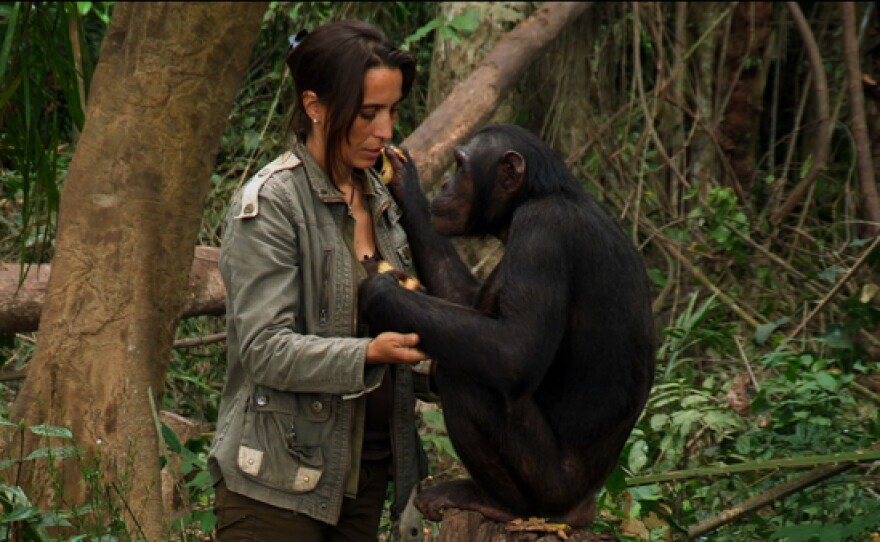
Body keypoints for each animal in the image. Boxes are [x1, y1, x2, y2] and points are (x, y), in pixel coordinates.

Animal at [356, 124, 652, 528]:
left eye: (461, 166)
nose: (445, 183)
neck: (534, 197)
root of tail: (582, 510)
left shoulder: (541, 234)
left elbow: (513, 352)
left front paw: (380, 293)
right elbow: (464, 300)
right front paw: (406, 183)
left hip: (550, 488)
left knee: (463, 377)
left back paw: (496, 503)